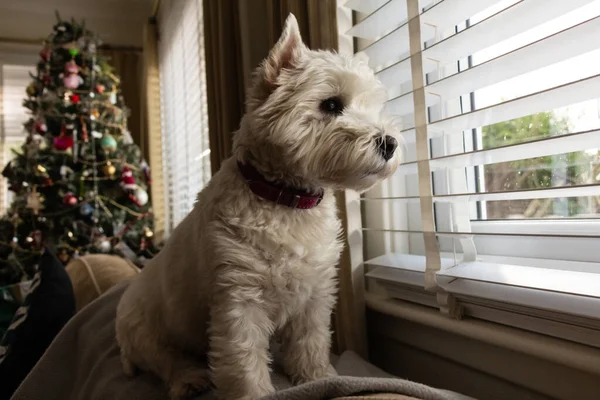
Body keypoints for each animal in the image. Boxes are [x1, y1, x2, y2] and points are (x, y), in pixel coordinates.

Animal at [115, 12, 400, 400]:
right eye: (331, 104)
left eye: (372, 106)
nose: (390, 143)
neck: (287, 199)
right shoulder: (238, 299)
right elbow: (244, 359)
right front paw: (255, 392)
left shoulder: (314, 295)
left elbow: (311, 342)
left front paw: (318, 377)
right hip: (147, 330)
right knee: (165, 360)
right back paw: (189, 379)